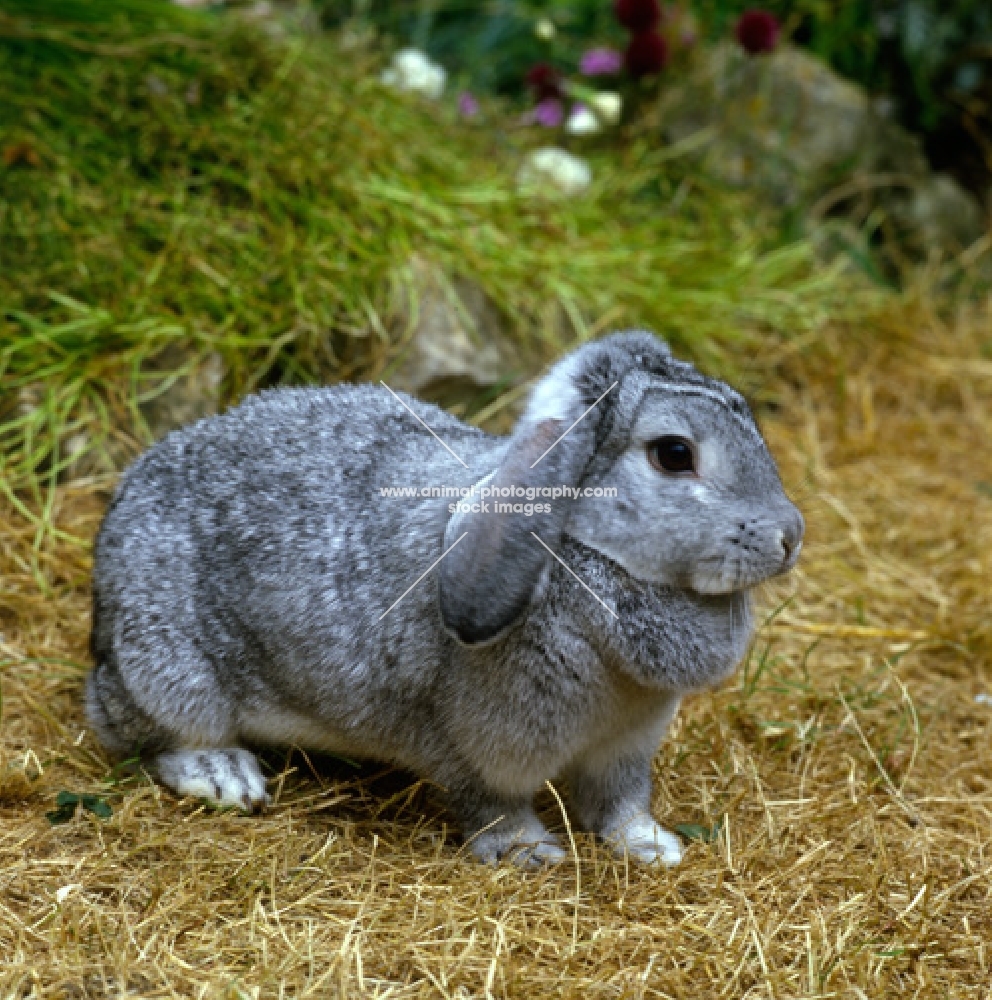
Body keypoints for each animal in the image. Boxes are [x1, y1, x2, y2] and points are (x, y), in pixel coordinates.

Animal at [87, 332, 808, 864]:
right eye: (674, 453)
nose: (789, 536)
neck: (583, 554)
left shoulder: (624, 749)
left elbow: (619, 804)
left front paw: (651, 846)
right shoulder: (469, 743)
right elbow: (490, 804)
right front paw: (529, 853)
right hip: (167, 668)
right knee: (145, 734)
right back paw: (225, 776)